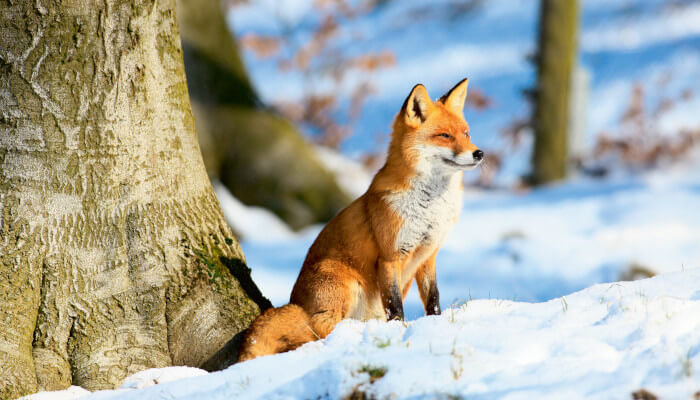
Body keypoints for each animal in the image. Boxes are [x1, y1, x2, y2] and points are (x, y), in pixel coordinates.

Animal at [237, 78, 483, 361]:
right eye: (444, 136)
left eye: (466, 133)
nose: (479, 153)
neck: (429, 207)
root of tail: (295, 301)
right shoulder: (389, 257)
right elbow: (395, 306)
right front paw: (398, 334)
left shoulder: (428, 255)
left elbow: (433, 300)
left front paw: (435, 324)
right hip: (346, 285)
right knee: (320, 330)